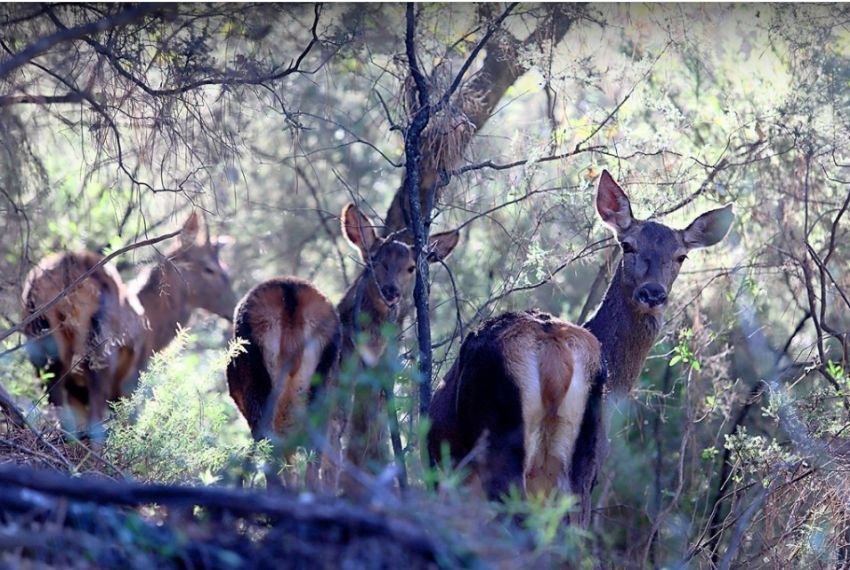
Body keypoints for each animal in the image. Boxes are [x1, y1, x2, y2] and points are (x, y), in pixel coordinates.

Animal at [23, 211, 235, 438]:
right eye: (210, 268)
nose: (234, 307)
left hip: (40, 343)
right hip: (101, 351)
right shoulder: (131, 382)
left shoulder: (77, 393)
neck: (155, 334)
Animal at [428, 169, 732, 524]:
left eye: (680, 256)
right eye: (627, 245)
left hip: (499, 441)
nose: (653, 293)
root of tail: (552, 355)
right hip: (575, 463)